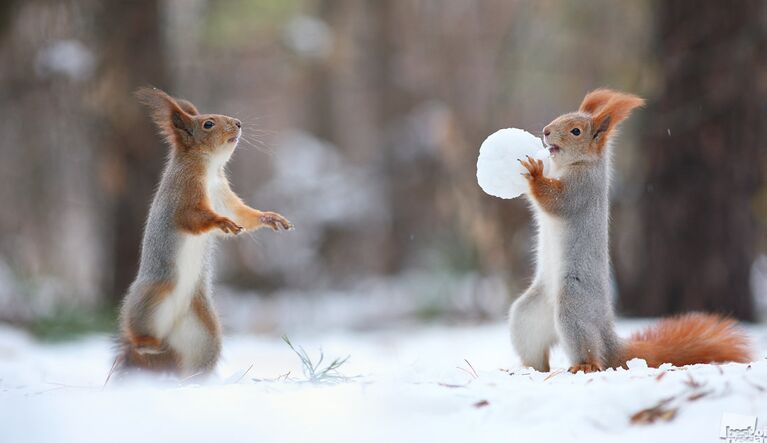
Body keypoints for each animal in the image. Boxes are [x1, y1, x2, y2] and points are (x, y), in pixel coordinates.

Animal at [117, 87, 294, 378]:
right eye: (208, 124)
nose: (238, 123)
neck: (210, 169)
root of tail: (167, 333)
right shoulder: (183, 195)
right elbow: (194, 218)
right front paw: (222, 223)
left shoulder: (223, 195)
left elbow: (242, 214)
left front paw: (270, 217)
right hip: (152, 297)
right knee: (137, 330)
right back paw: (145, 345)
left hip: (204, 328)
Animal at [510, 88, 752, 372]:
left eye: (576, 131)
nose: (546, 131)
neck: (574, 165)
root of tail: (609, 339)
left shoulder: (581, 190)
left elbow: (556, 201)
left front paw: (535, 175)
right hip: (528, 315)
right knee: (536, 349)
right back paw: (527, 368)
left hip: (573, 306)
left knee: (593, 353)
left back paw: (584, 365)